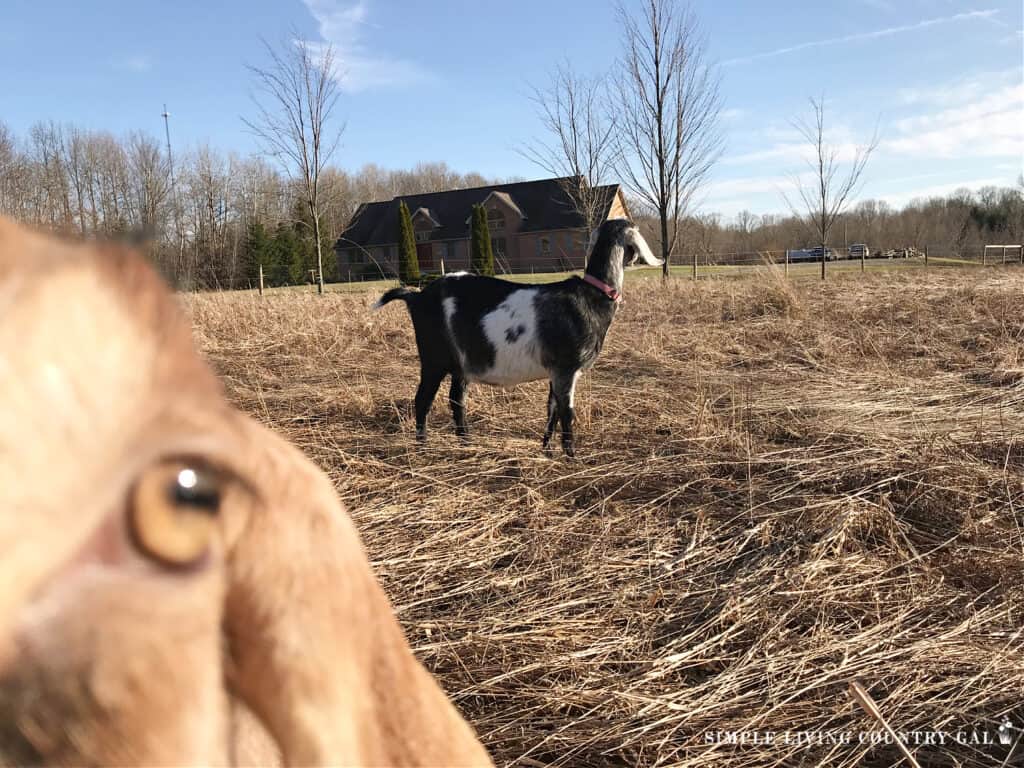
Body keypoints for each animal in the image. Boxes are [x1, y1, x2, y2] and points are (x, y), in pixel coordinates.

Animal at [375, 218, 662, 456]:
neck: (592, 295)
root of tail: (416, 296)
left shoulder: (554, 372)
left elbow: (551, 408)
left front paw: (546, 450)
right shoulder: (567, 368)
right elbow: (567, 413)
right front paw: (571, 456)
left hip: (462, 364)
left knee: (456, 400)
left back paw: (466, 442)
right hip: (433, 359)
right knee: (423, 400)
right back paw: (423, 446)